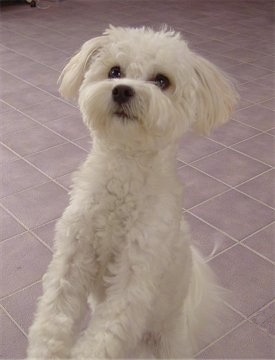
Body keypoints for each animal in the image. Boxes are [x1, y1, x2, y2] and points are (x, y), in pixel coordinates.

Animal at [28, 25, 239, 358]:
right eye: (115, 71)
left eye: (162, 81)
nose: (122, 90)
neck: (123, 175)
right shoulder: (73, 257)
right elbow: (54, 314)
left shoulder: (134, 276)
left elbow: (105, 333)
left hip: (169, 341)